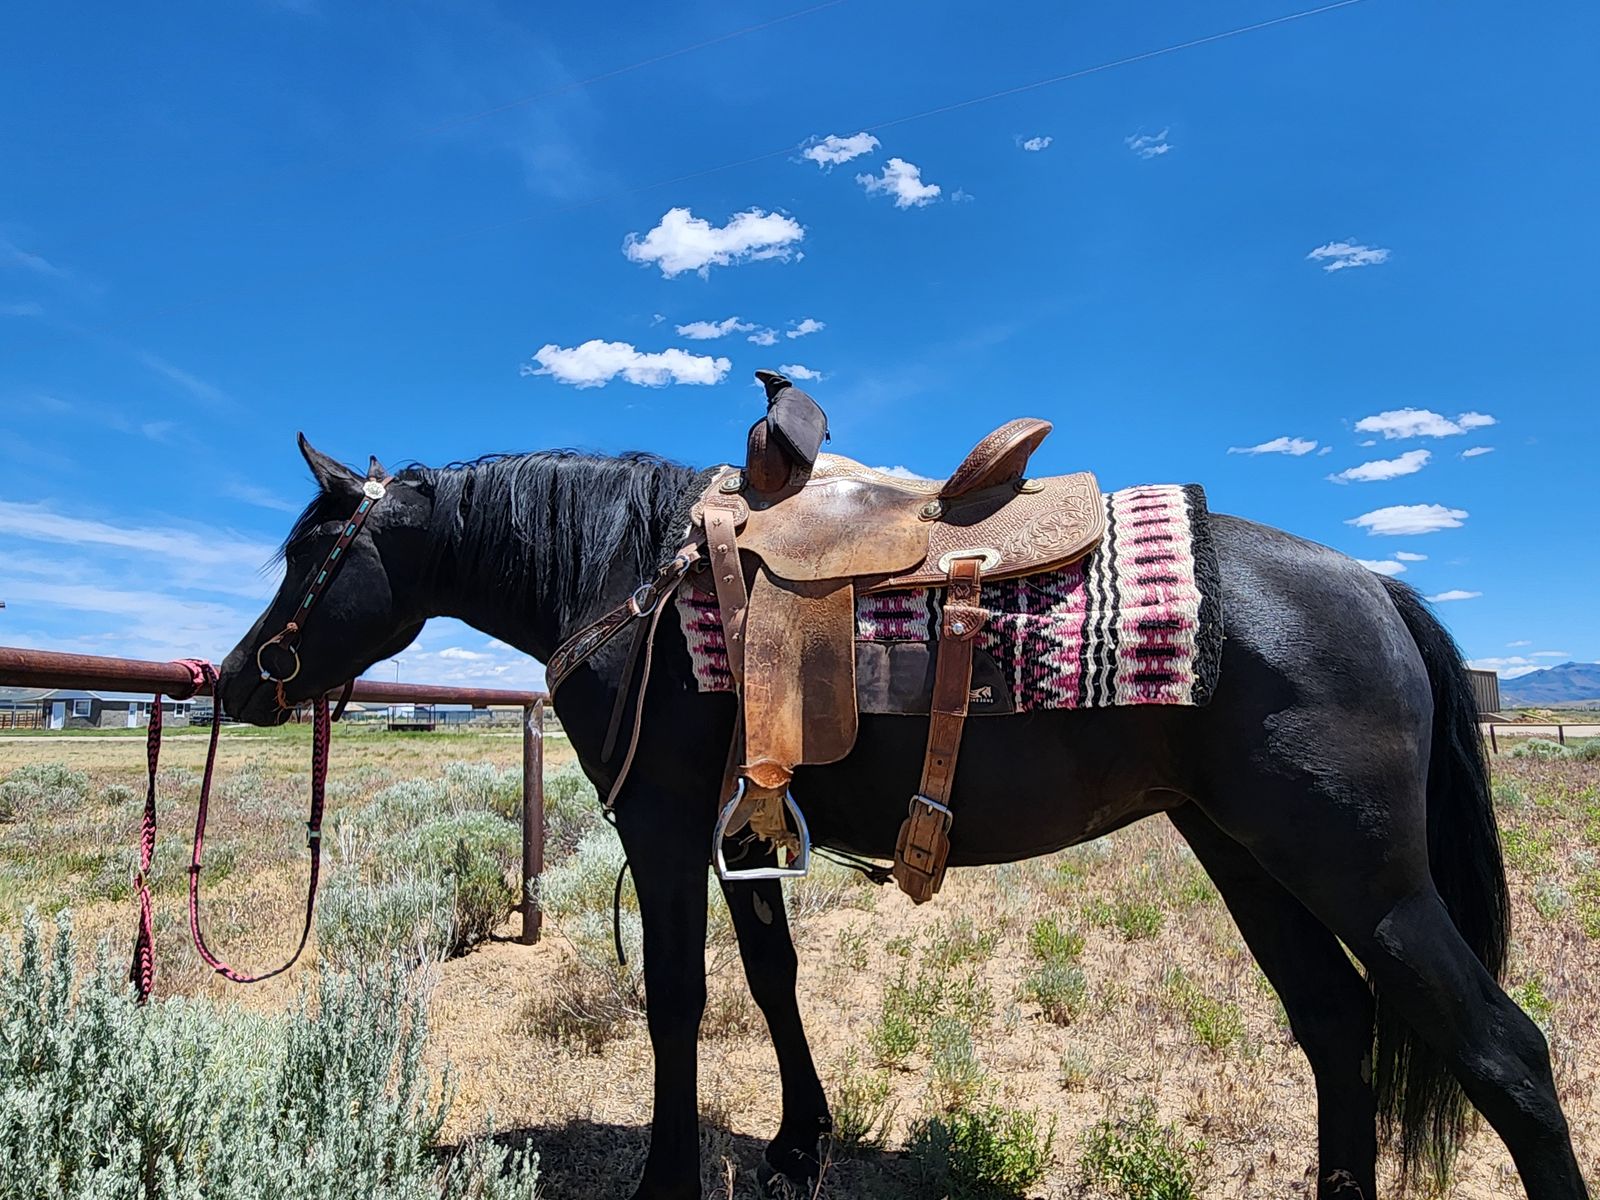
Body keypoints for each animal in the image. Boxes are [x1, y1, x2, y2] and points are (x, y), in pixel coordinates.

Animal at [217, 435, 1588, 1200]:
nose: (236, 680)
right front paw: (795, 1146)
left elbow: (678, 999)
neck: (628, 578)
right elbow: (770, 981)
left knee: (1504, 1056)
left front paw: (670, 1176)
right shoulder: (740, 832)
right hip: (1249, 855)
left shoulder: (662, 824)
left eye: (304, 553)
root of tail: (1373, 583)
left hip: (1362, 873)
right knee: (1337, 1029)